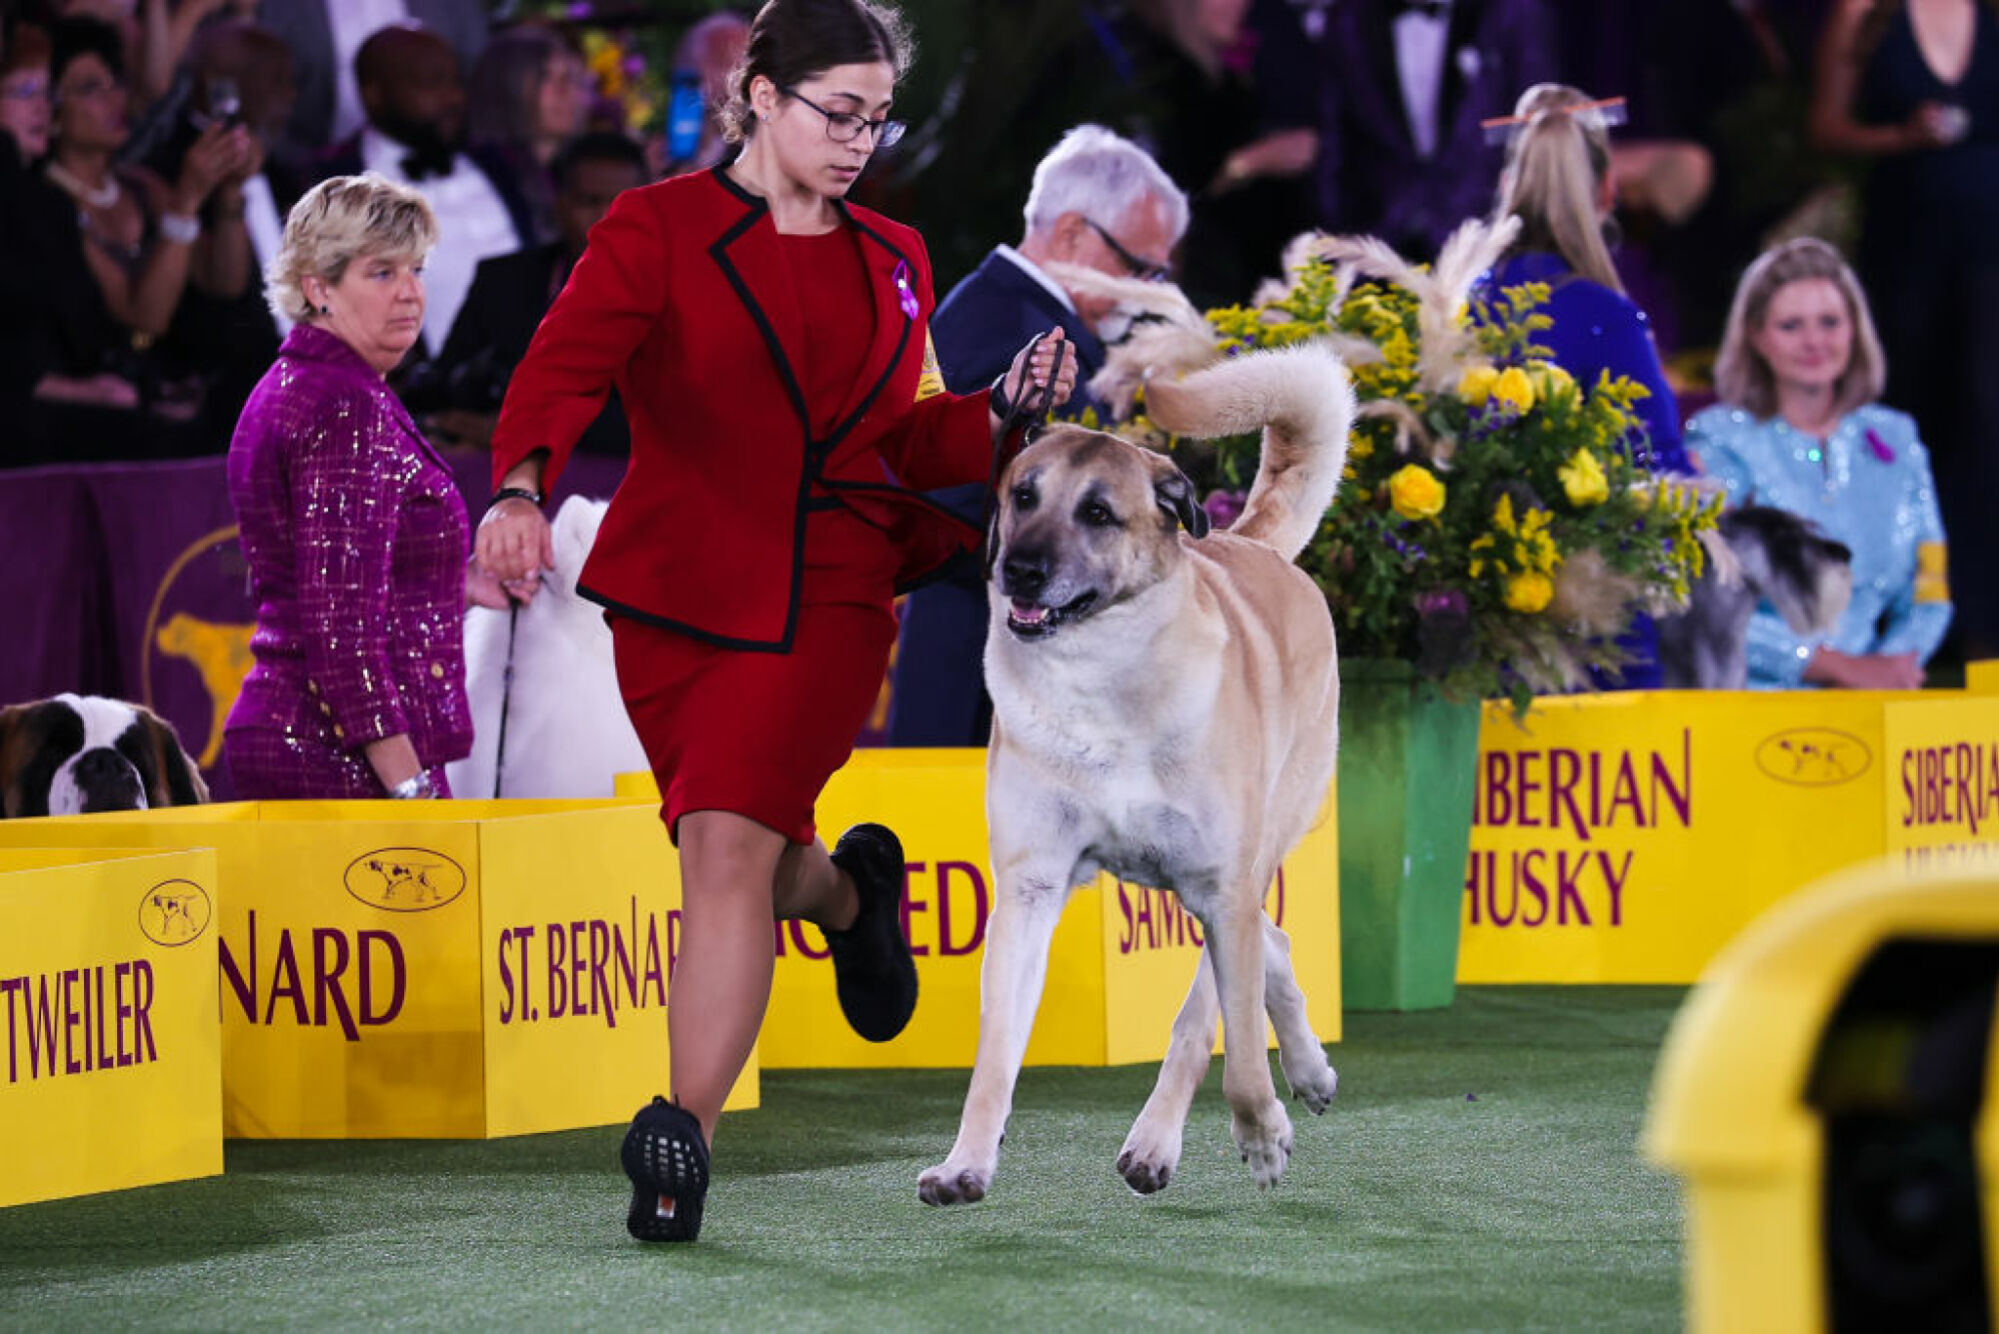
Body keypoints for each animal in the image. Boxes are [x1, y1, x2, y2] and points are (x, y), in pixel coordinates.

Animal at [919, 340, 1359, 1208]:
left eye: (1097, 514)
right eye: (1022, 495)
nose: (1019, 570)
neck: (1100, 684)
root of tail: (1254, 546)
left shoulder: (1219, 885)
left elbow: (1224, 1044)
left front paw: (1258, 1135)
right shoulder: (1029, 889)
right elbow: (994, 1058)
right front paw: (965, 1163)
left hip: (1262, 838)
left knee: (1228, 988)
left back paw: (1179, 1132)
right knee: (1276, 939)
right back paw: (1307, 1071)